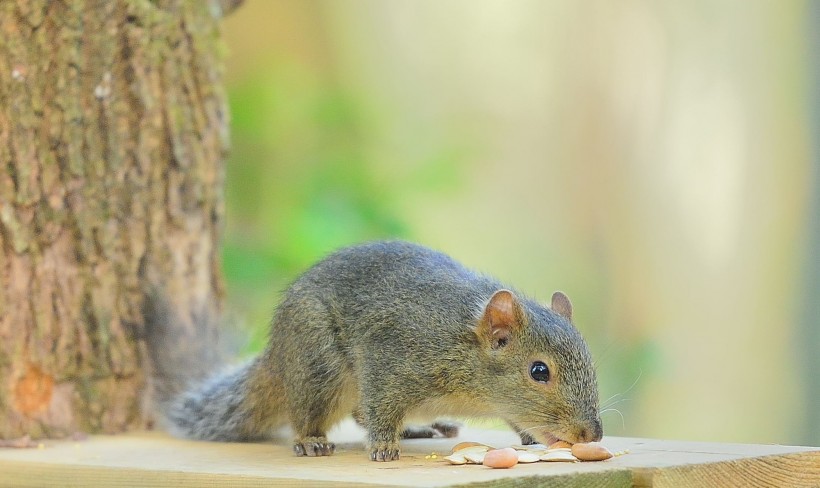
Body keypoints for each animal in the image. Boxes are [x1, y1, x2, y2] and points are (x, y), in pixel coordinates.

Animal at [152, 240, 604, 462]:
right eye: (539, 371)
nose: (591, 434)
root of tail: (277, 355)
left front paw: (528, 435)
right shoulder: (392, 360)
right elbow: (382, 405)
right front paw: (384, 446)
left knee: (358, 412)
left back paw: (422, 427)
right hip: (318, 364)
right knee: (313, 411)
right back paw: (312, 440)